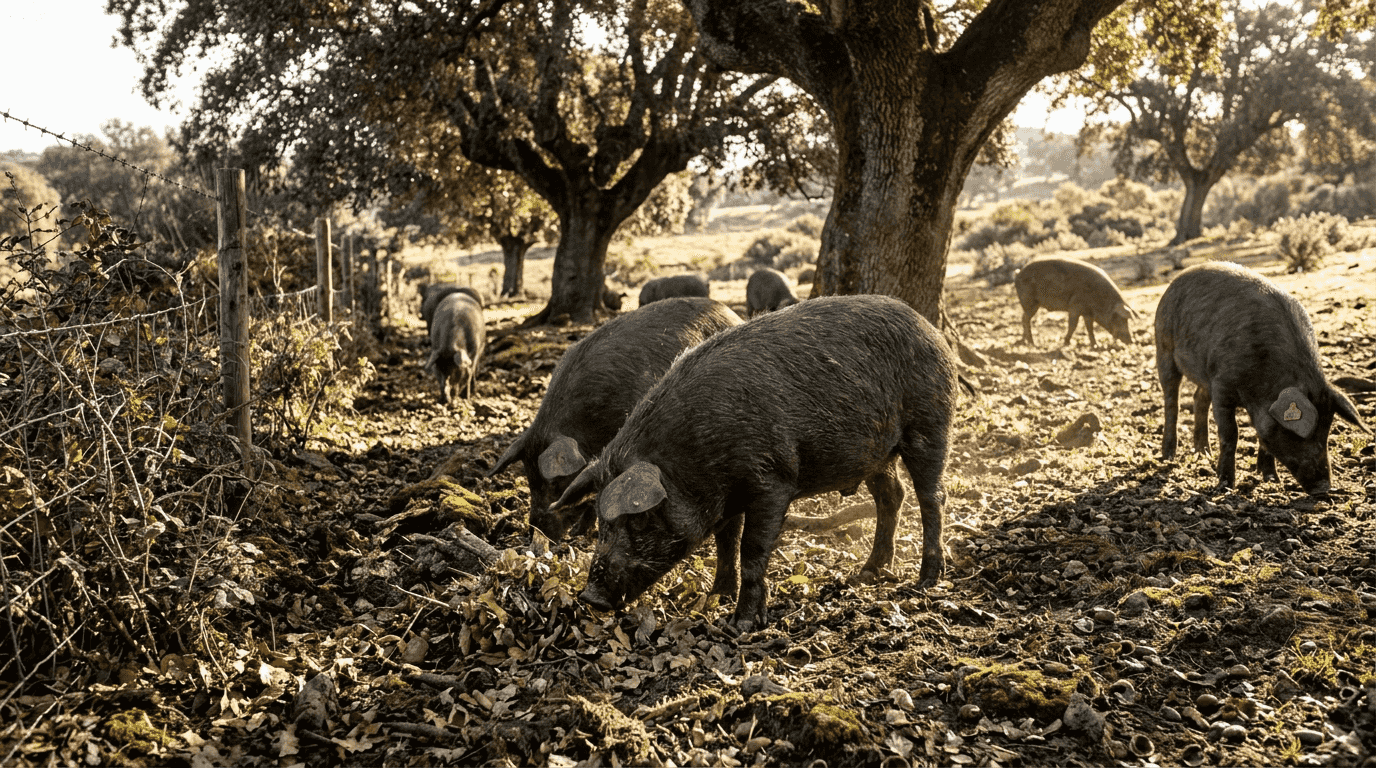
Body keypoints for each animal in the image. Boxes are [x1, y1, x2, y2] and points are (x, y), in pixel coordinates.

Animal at [549, 295, 959, 632]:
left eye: (638, 520)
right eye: (601, 520)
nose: (590, 596)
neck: (694, 456)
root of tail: (931, 329)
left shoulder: (773, 482)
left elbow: (752, 548)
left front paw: (741, 624)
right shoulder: (728, 497)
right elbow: (725, 541)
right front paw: (717, 598)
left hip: (929, 423)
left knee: (932, 496)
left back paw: (926, 579)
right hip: (877, 453)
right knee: (892, 495)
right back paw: (867, 573)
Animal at [1155, 262, 1368, 494]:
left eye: (1326, 430)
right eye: (1298, 434)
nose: (1324, 487)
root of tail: (1177, 279)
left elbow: (1262, 437)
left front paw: (1272, 480)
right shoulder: (1222, 386)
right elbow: (1230, 434)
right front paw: (1225, 486)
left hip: (1204, 374)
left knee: (1198, 399)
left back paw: (1203, 453)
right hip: (1164, 346)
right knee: (1171, 400)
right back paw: (1168, 456)